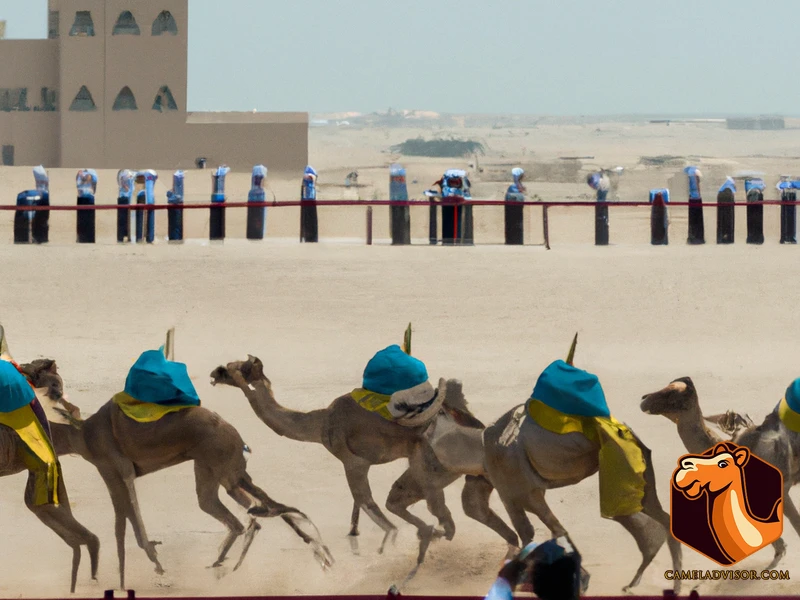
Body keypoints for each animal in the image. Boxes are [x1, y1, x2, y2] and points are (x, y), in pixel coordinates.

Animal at [18, 356, 332, 592]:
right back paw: (227, 564)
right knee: (251, 512)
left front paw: (148, 572)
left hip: (224, 468)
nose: (23, 367)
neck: (82, 434)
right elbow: (124, 522)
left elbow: (125, 523)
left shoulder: (114, 469)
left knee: (257, 511)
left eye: (44, 374)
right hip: (219, 471)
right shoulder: (114, 472)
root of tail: (237, 436)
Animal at [208, 354, 520, 580]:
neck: (319, 424)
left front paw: (384, 549)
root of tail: (474, 425)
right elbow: (363, 508)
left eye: (236, 368)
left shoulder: (353, 461)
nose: (214, 373)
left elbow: (366, 502)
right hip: (449, 472)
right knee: (449, 508)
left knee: (440, 514)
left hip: (433, 467)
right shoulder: (360, 464)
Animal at [478, 338, 684, 596]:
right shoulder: (519, 493)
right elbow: (542, 532)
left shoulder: (518, 491)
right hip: (640, 478)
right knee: (659, 520)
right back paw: (642, 582)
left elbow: (546, 531)